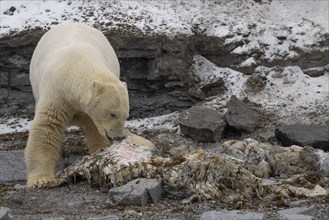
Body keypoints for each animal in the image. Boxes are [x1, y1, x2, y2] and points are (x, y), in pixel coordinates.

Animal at [25, 21, 129, 187]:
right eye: (112, 113)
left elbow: (95, 129)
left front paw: (100, 154)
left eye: (126, 116)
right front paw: (41, 180)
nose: (118, 137)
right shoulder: (57, 93)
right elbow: (46, 126)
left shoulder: (89, 111)